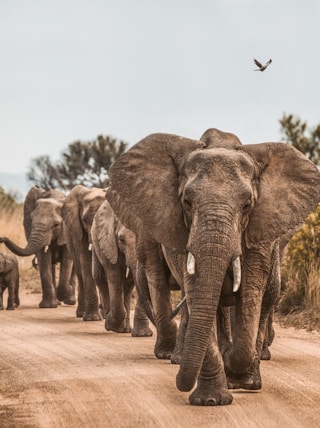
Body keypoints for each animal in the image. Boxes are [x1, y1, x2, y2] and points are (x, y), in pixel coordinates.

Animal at [62, 184, 106, 320]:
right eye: (85, 220)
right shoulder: (78, 230)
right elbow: (86, 263)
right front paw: (92, 318)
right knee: (80, 272)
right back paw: (82, 313)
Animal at [90, 199, 152, 336]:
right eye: (121, 239)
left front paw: (142, 335)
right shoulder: (109, 242)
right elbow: (114, 275)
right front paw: (112, 325)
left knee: (128, 286)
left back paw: (126, 329)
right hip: (96, 241)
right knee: (99, 277)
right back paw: (109, 320)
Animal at [106, 130, 320, 404]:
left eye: (247, 205)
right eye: (187, 202)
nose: (179, 382)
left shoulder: (259, 233)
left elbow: (250, 295)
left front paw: (240, 378)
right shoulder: (180, 232)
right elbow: (197, 292)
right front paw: (211, 400)